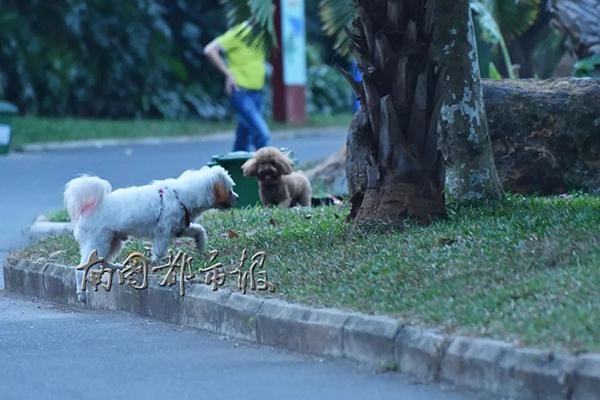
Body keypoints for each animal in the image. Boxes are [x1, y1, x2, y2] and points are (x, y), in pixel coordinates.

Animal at [63, 165, 237, 300]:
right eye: (230, 190)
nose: (237, 197)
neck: (180, 197)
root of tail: (88, 209)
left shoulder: (179, 227)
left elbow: (199, 230)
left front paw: (200, 245)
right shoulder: (163, 232)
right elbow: (159, 250)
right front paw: (158, 263)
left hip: (112, 240)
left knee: (103, 260)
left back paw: (114, 267)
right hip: (99, 240)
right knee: (82, 269)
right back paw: (81, 294)